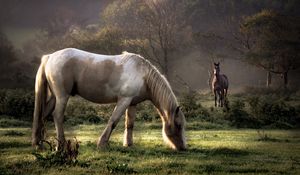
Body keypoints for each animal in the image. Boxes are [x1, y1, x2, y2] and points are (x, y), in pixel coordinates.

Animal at [33, 47, 188, 150]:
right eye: (178, 125)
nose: (182, 148)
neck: (143, 75)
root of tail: (50, 57)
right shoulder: (124, 100)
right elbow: (113, 121)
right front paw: (102, 143)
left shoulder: (132, 103)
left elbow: (129, 124)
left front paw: (128, 144)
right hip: (62, 96)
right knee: (57, 116)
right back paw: (61, 145)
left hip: (54, 97)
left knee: (43, 115)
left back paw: (38, 143)